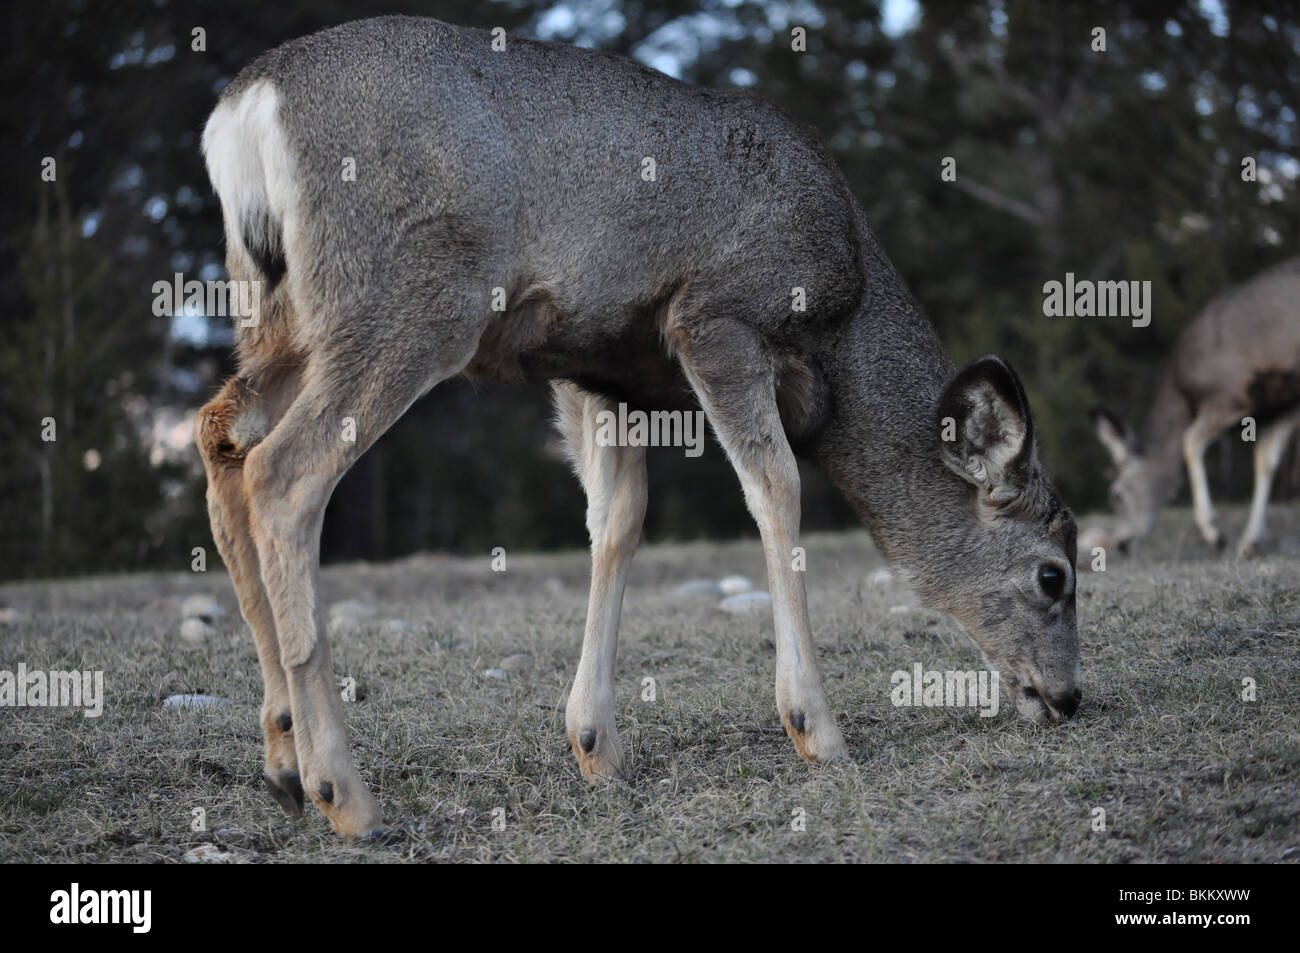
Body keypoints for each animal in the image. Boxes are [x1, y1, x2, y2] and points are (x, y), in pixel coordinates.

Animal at [195, 16, 1076, 842]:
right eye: (1053, 575)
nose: (1068, 696)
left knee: (219, 436)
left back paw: (282, 762)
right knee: (283, 473)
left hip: (277, 315)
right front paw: (815, 728)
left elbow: (617, 520)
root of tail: (244, 107)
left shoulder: (596, 370)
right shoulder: (717, 316)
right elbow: (777, 489)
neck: (843, 329)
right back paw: (345, 792)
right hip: (409, 295)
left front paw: (597, 743)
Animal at [1092, 256, 1300, 561]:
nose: (1121, 542)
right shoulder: (1282, 403)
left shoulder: (1230, 394)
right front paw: (1250, 541)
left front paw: (1214, 532)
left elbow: (1189, 442)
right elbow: (1266, 461)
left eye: (1116, 494)